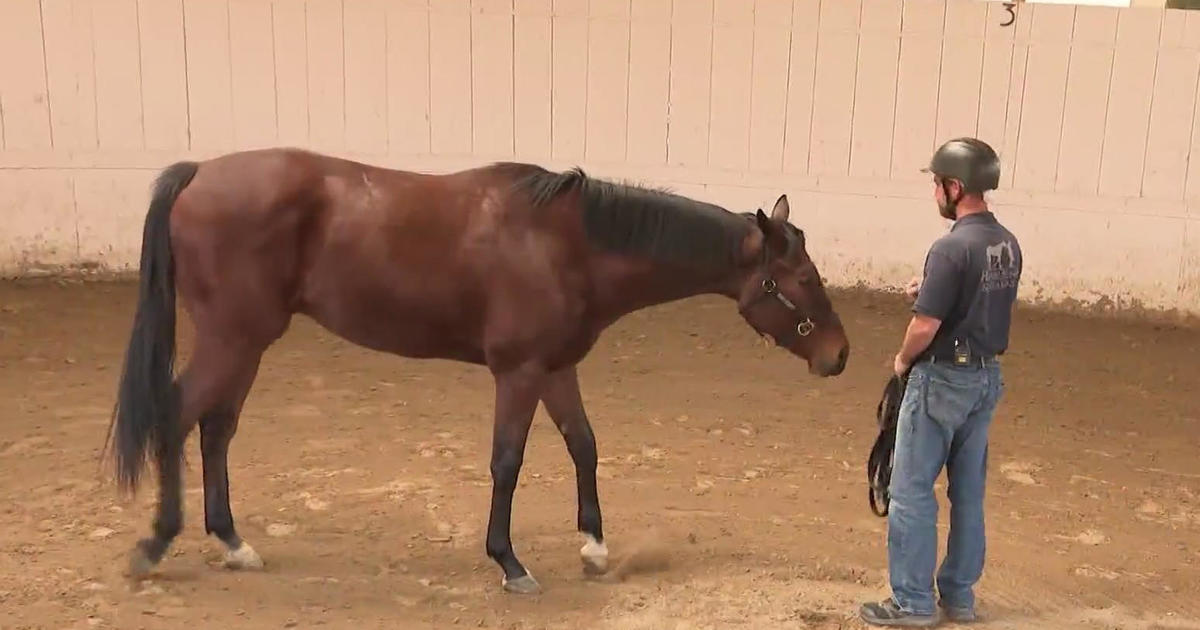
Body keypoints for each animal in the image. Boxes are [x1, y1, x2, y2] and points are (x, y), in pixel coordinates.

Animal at [105, 147, 854, 595]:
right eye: (801, 278)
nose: (839, 355)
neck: (568, 244)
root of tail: (199, 172)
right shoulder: (518, 372)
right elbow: (508, 461)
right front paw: (510, 561)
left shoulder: (555, 368)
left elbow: (584, 446)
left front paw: (595, 548)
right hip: (233, 340)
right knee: (177, 420)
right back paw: (155, 545)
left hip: (246, 344)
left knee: (215, 430)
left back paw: (234, 544)